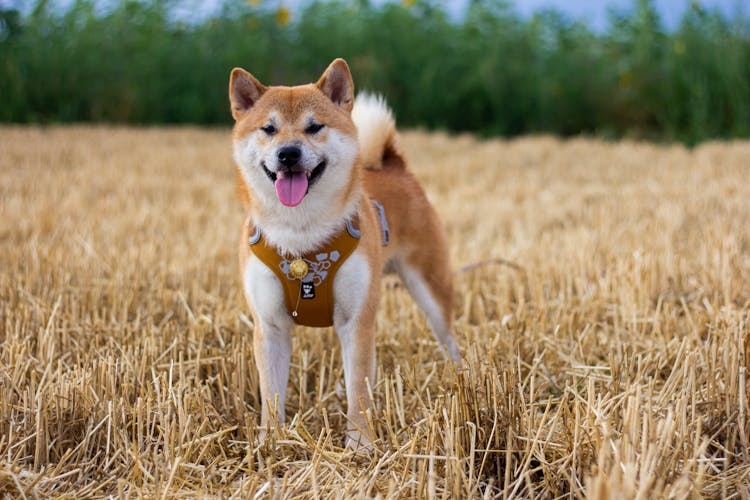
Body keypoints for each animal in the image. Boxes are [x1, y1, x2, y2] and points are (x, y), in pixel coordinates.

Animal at [232, 58, 462, 450]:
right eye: (268, 128)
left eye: (314, 127)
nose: (288, 153)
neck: (301, 238)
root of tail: (392, 165)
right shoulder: (270, 325)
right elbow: (271, 394)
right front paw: (270, 443)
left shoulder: (356, 319)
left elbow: (359, 390)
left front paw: (361, 445)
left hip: (431, 288)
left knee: (448, 339)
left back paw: (467, 380)